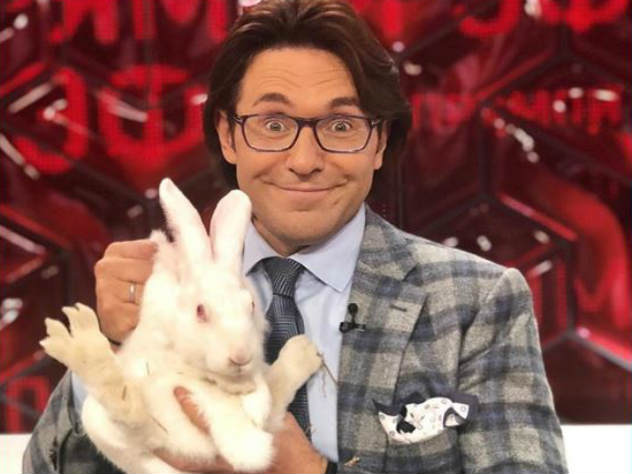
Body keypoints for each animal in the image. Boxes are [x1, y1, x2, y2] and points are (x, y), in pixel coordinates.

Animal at [40, 178, 323, 474]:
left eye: (251, 305)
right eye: (200, 311)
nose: (240, 356)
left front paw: (249, 394)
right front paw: (243, 401)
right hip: (107, 420)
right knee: (132, 414)